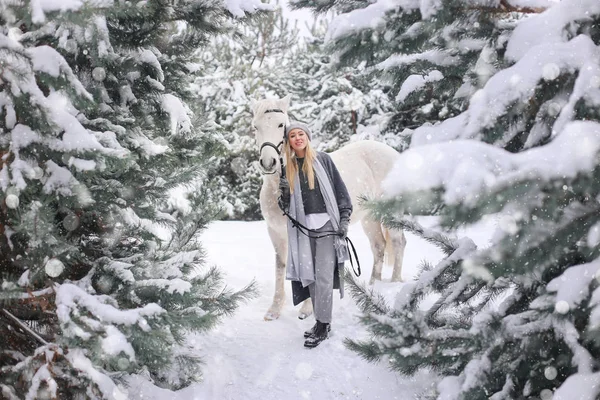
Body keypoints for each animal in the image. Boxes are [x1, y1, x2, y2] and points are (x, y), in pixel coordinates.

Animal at [251, 95, 406, 320]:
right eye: (256, 127)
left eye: (281, 125)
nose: (268, 162)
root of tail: (393, 153)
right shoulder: (276, 232)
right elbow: (280, 266)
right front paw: (274, 310)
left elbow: (308, 263)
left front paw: (307, 309)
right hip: (369, 217)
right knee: (379, 246)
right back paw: (372, 286)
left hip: (390, 213)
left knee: (398, 242)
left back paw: (393, 285)